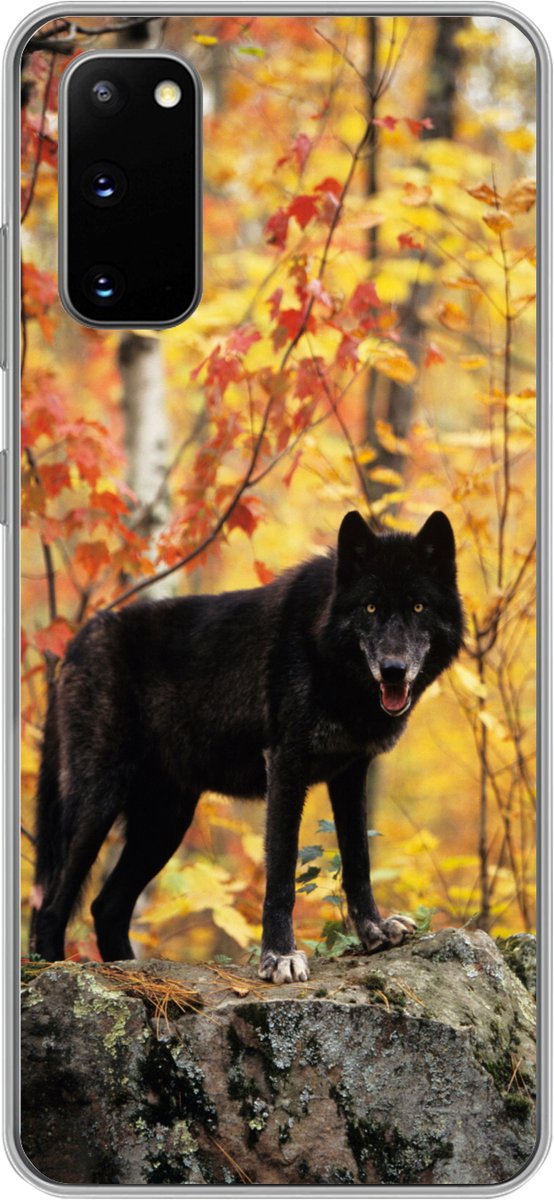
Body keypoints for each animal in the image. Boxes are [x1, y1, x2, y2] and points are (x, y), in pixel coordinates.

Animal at [31, 509, 463, 982]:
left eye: (418, 606)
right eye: (371, 607)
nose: (392, 670)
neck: (327, 656)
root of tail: (76, 642)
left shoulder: (351, 774)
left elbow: (358, 860)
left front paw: (374, 930)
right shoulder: (286, 766)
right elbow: (281, 874)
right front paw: (280, 956)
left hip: (166, 821)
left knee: (105, 906)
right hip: (99, 803)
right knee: (50, 906)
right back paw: (54, 971)